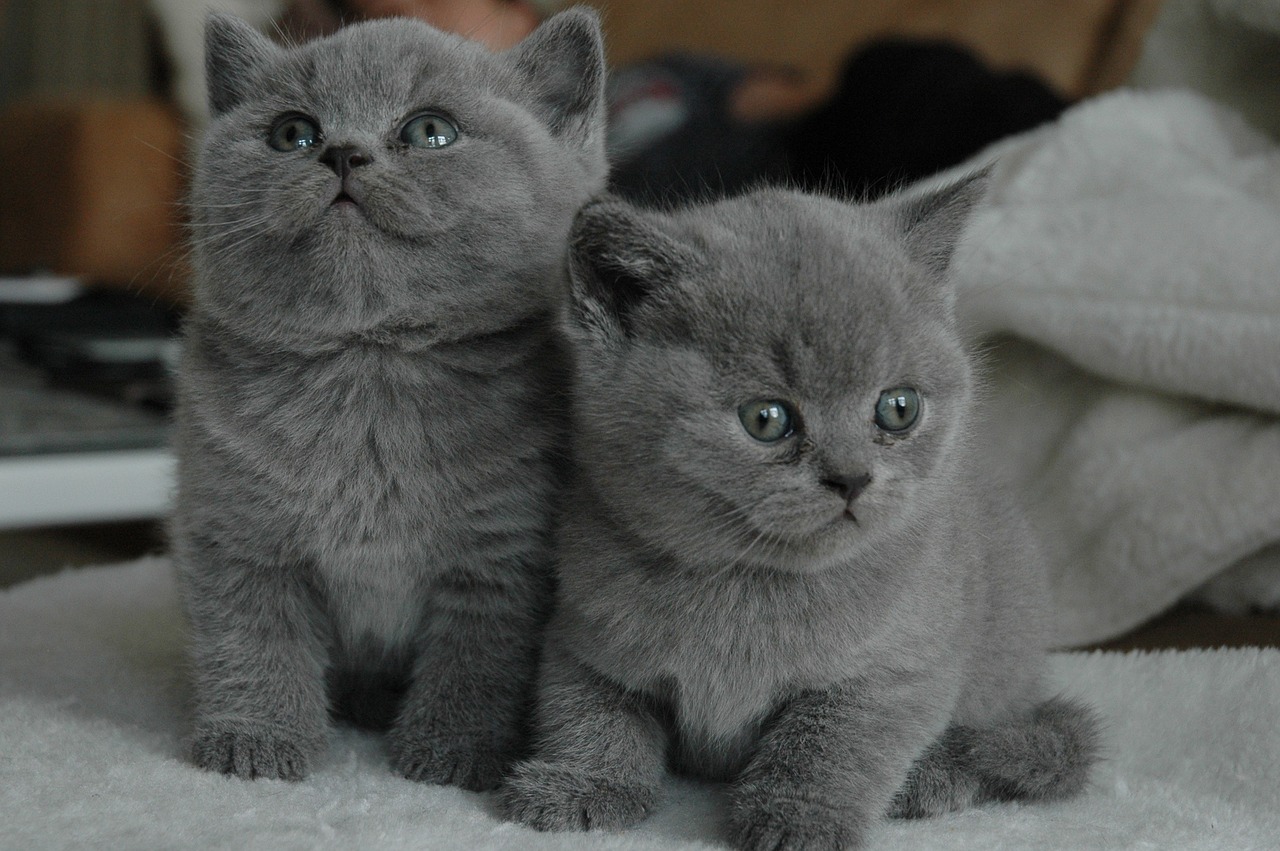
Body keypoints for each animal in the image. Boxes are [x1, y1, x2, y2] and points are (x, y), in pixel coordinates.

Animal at [168, 9, 604, 788]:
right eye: (292, 132)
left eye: (431, 131)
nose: (341, 153)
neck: (369, 369)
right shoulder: (233, 536)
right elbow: (251, 638)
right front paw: (256, 740)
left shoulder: (502, 558)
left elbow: (478, 659)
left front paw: (453, 752)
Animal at [499, 179, 1100, 844]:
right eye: (766, 419)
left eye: (899, 408)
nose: (852, 477)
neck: (748, 583)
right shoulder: (583, 636)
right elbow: (587, 712)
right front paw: (583, 786)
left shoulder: (898, 669)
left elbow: (831, 744)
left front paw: (800, 818)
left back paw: (935, 777)